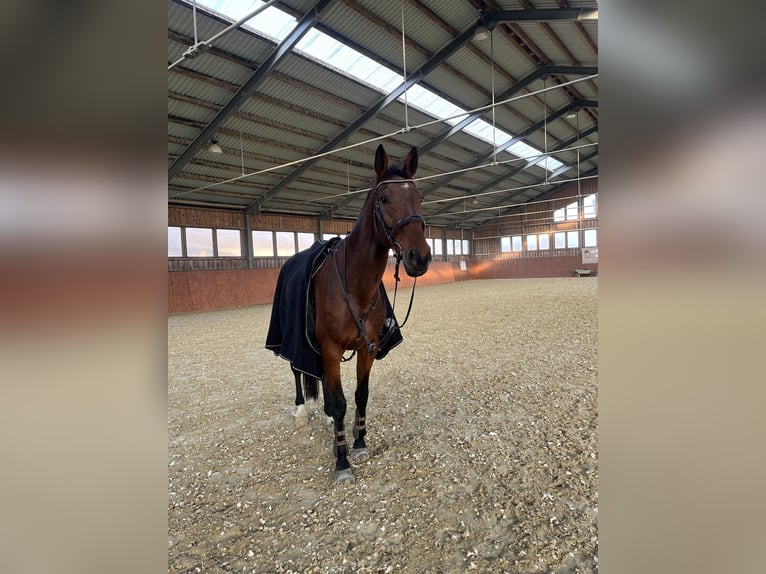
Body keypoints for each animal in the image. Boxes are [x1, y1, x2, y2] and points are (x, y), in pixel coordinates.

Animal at [268, 144, 432, 486]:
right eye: (384, 199)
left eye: (419, 197)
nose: (420, 257)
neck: (355, 287)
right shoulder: (330, 348)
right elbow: (341, 402)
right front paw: (342, 461)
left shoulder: (367, 347)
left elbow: (359, 395)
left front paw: (357, 443)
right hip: (296, 342)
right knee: (296, 370)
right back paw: (301, 411)